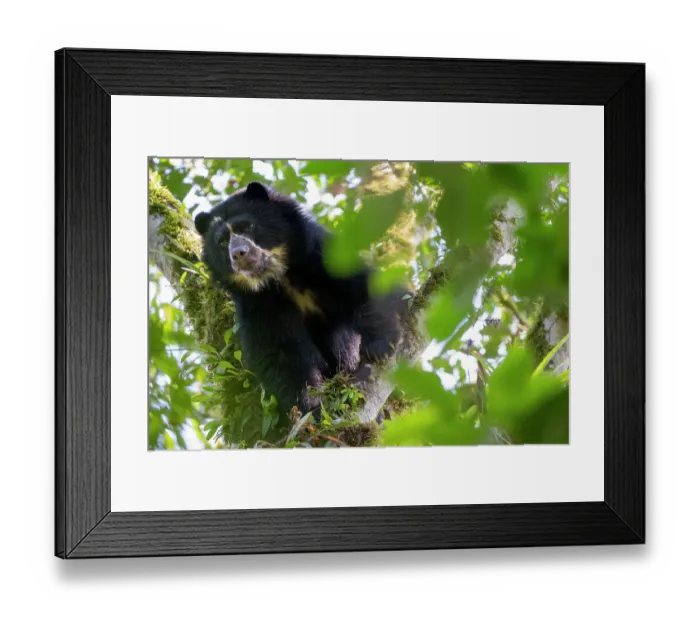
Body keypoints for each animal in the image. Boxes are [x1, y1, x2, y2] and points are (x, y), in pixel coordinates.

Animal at [194, 181, 407, 417]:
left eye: (248, 226)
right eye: (222, 242)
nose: (239, 254)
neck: (281, 276)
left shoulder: (324, 258)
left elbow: (366, 288)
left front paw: (380, 347)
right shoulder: (259, 305)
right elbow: (283, 354)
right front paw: (311, 408)